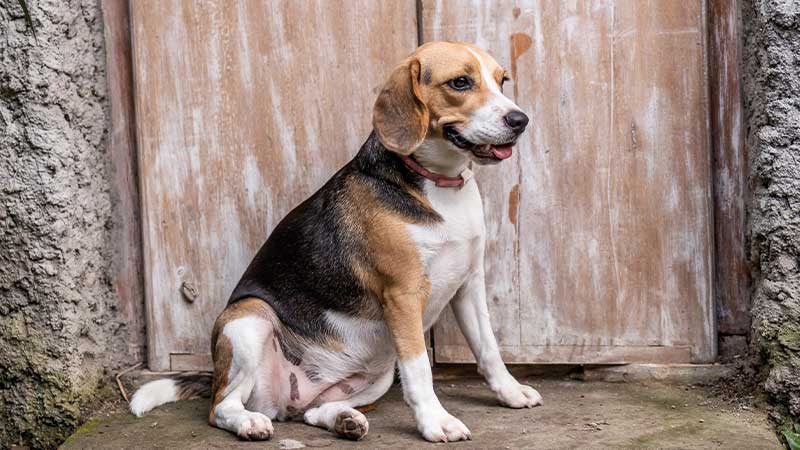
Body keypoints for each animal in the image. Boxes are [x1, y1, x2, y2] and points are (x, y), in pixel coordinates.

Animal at [131, 41, 540, 442]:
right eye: (460, 82)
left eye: (502, 81)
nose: (520, 120)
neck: (438, 184)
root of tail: (284, 400)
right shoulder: (404, 296)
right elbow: (421, 368)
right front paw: (436, 422)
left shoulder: (469, 285)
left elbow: (488, 349)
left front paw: (510, 392)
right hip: (250, 319)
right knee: (221, 407)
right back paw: (249, 422)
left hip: (377, 374)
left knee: (312, 413)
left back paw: (344, 419)